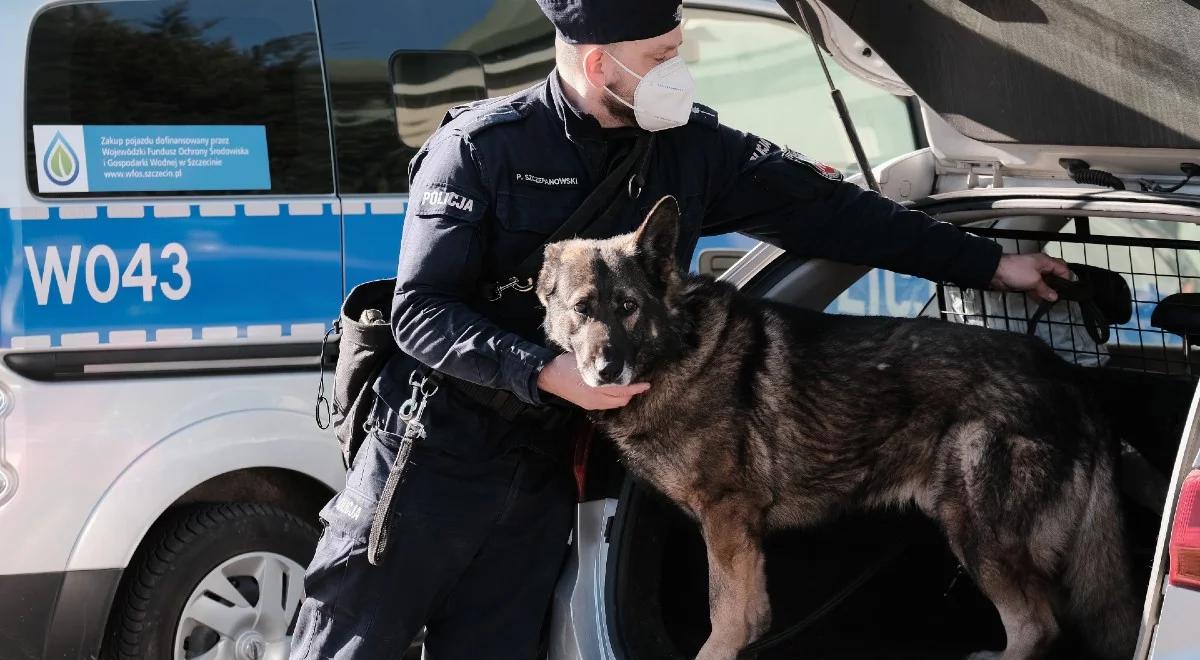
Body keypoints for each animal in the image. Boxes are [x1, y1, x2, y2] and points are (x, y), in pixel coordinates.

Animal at [535, 196, 1132, 660]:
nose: (605, 371)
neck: (679, 347)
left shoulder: (725, 519)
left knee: (1036, 625)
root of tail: (1066, 378)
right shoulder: (739, 535)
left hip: (974, 527)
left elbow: (725, 617)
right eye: (582, 309)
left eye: (627, 307)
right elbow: (748, 615)